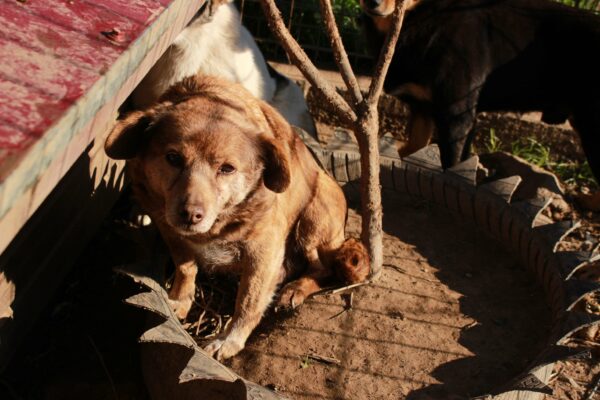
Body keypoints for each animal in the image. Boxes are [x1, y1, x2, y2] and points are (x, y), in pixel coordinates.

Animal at [105, 75, 368, 360]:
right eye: (173, 158)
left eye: (227, 168)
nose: (190, 215)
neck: (219, 224)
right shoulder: (169, 229)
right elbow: (186, 267)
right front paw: (179, 300)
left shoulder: (263, 249)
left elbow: (248, 301)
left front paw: (228, 340)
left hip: (315, 214)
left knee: (323, 267)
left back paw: (296, 288)